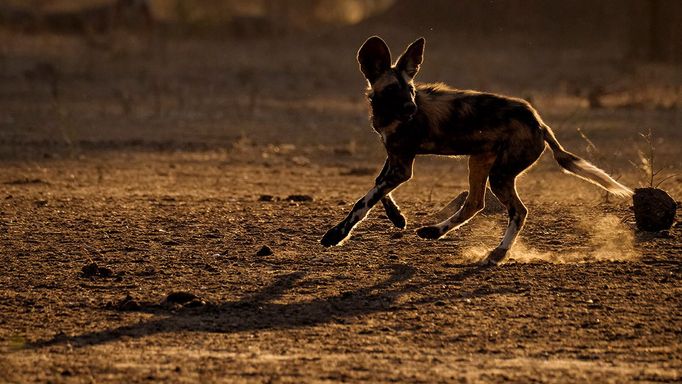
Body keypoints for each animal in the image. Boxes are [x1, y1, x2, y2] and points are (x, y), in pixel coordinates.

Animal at [322, 36, 628, 264]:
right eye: (393, 91)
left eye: (409, 90)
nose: (411, 109)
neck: (388, 115)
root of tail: (539, 122)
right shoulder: (396, 160)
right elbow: (378, 187)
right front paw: (398, 218)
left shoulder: (401, 167)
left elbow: (363, 202)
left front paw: (337, 234)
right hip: (479, 162)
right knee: (475, 202)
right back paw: (435, 232)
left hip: (499, 175)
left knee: (519, 211)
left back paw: (498, 254)